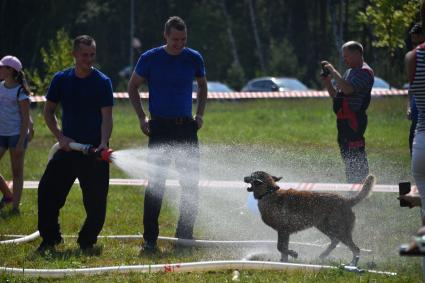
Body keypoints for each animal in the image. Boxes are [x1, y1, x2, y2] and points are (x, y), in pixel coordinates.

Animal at [242, 172, 374, 262]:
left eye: (252, 176)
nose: (243, 177)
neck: (269, 193)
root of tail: (346, 201)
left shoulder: (283, 230)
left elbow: (280, 247)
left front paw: (293, 254)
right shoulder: (285, 232)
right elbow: (283, 249)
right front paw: (284, 262)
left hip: (339, 230)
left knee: (355, 249)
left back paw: (352, 265)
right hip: (325, 227)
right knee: (335, 241)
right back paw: (323, 255)